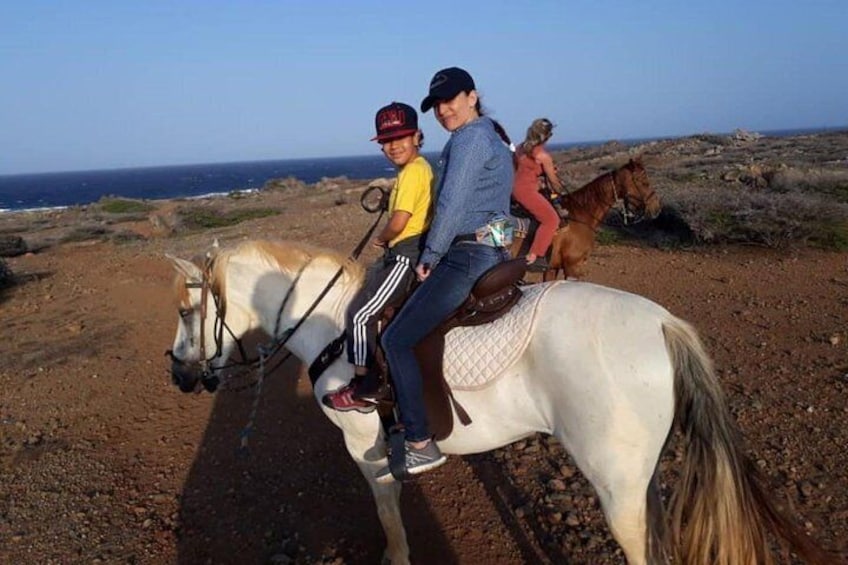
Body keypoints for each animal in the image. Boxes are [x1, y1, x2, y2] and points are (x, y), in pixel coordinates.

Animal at [166, 239, 828, 564]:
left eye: (185, 309)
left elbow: (390, 521)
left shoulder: (365, 449)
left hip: (616, 487)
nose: (178, 373)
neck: (334, 323)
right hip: (644, 481)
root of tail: (664, 323)